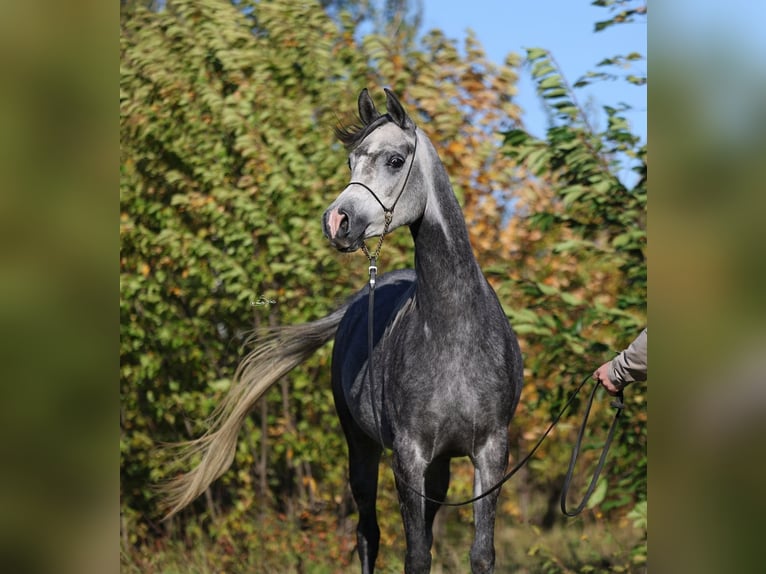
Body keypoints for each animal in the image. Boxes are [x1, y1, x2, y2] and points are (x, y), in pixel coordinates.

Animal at [161, 88, 523, 574]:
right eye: (351, 160)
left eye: (394, 160)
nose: (336, 221)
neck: (455, 333)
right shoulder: (407, 456)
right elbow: (415, 555)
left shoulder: (490, 452)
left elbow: (480, 554)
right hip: (362, 447)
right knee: (368, 534)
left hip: (439, 464)